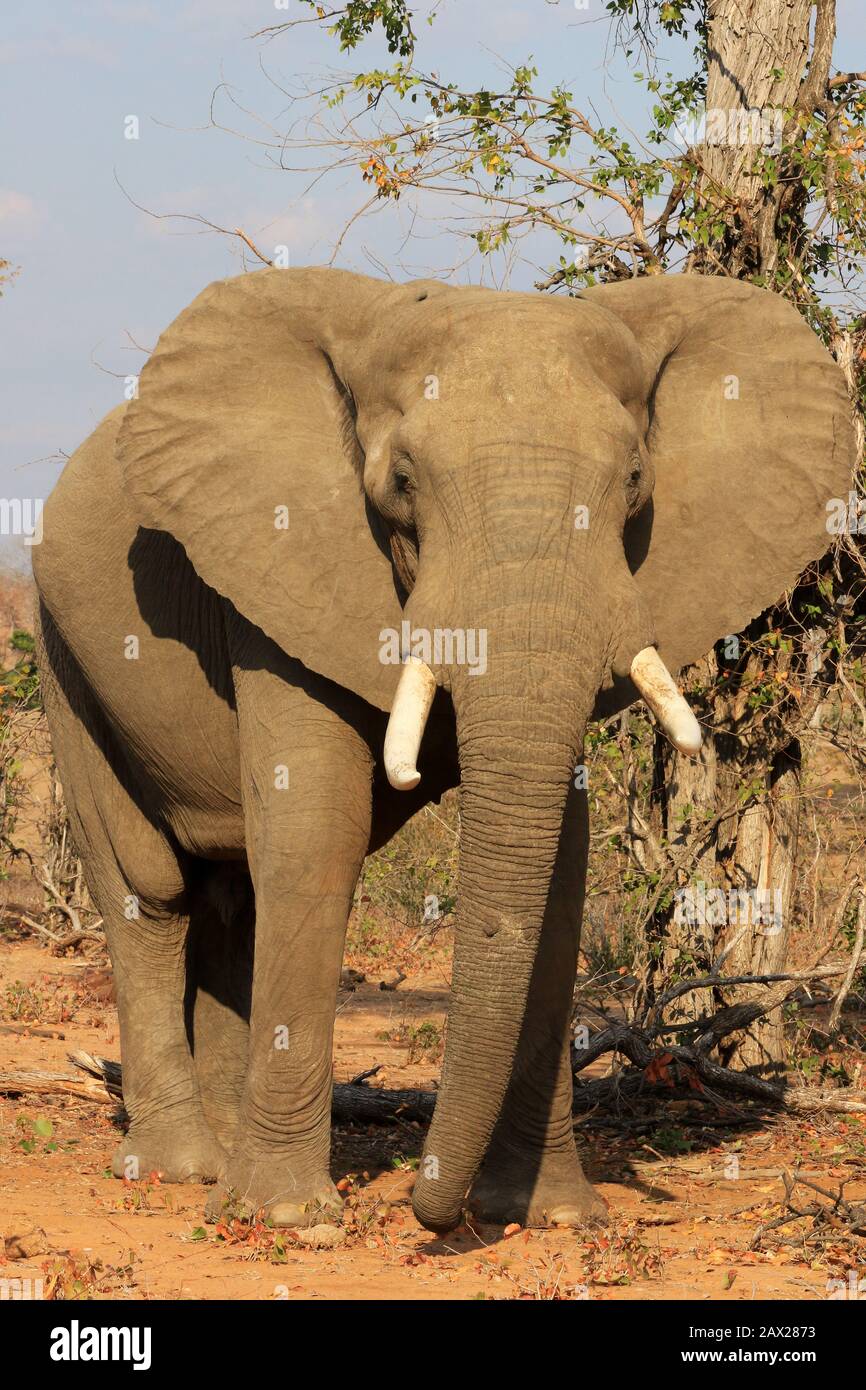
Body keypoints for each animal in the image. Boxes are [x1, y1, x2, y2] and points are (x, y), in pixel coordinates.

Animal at [33, 265, 856, 1234]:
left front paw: (551, 1216)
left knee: (232, 899)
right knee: (149, 891)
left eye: (634, 483)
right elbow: (316, 836)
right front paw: (288, 1219)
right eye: (399, 481)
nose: (429, 1205)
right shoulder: (276, 572)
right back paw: (180, 1170)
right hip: (62, 654)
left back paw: (226, 1147)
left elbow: (561, 868)